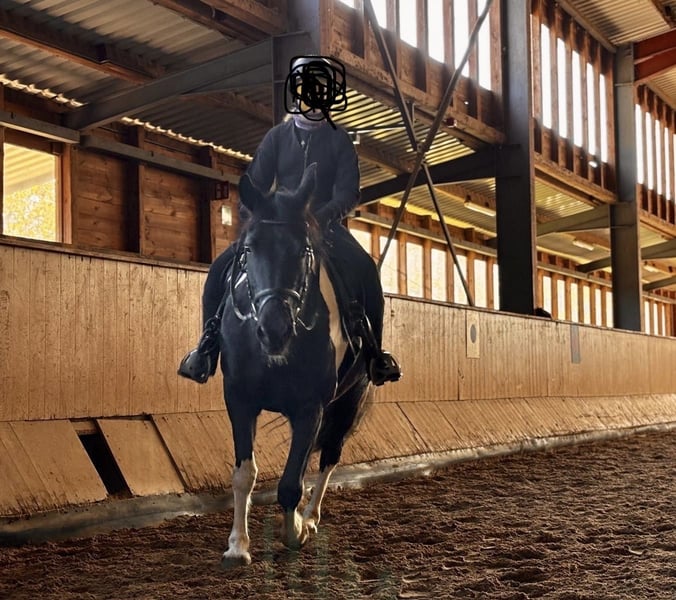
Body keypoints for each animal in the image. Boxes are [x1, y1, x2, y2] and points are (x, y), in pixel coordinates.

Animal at [219, 163, 375, 567]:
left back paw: (311, 518)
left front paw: (295, 532)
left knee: (329, 457)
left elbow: (291, 484)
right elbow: (244, 474)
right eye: (249, 248)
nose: (274, 330)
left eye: (304, 249)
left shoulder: (311, 407)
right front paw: (237, 546)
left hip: (349, 401)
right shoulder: (240, 400)